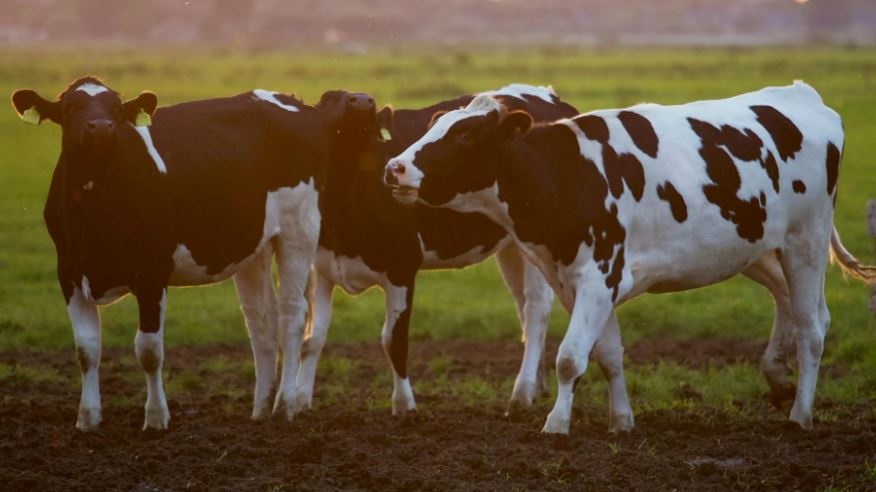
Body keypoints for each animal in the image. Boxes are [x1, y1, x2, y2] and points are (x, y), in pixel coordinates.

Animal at [10, 76, 368, 431]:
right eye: (71, 107)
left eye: (116, 107)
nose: (100, 127)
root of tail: (298, 104)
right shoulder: (69, 273)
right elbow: (86, 349)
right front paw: (88, 418)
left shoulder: (152, 273)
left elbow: (149, 350)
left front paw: (156, 418)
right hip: (255, 245)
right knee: (260, 321)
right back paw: (261, 408)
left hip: (299, 229)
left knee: (291, 315)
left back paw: (285, 404)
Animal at [293, 85, 579, 416]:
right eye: (328, 98)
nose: (363, 100)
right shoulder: (322, 268)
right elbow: (313, 338)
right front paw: (299, 402)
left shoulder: (402, 267)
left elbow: (394, 340)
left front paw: (404, 406)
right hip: (512, 246)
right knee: (522, 306)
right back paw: (537, 385)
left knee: (535, 310)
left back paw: (521, 393)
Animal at [385, 81, 876, 434]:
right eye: (434, 125)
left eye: (464, 134)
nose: (394, 167)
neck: (568, 174)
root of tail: (801, 94)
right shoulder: (578, 282)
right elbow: (608, 355)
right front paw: (621, 421)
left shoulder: (599, 276)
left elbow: (569, 357)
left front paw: (556, 424)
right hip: (753, 246)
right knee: (791, 302)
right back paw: (778, 379)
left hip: (805, 239)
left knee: (813, 328)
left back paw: (800, 415)